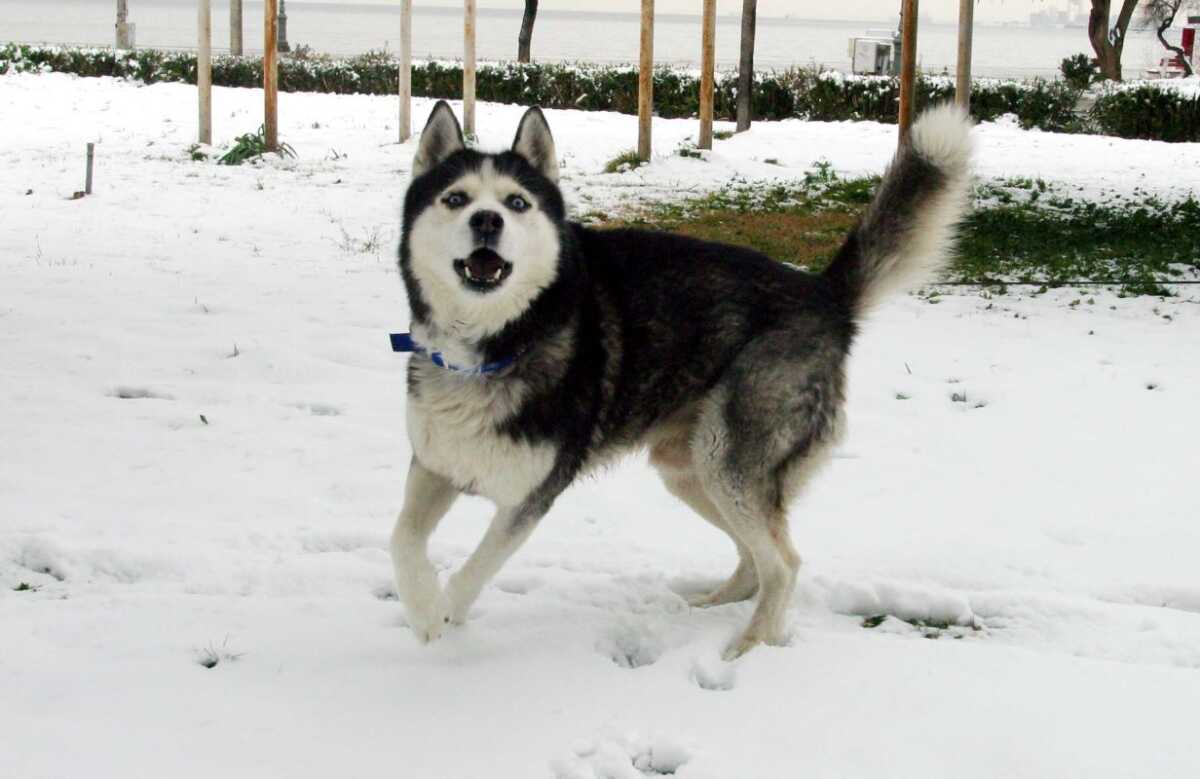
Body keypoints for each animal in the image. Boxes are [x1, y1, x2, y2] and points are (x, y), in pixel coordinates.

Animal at [393, 97, 974, 657]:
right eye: (456, 199)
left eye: (516, 203)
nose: (487, 221)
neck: (495, 342)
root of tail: (823, 294)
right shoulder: (436, 463)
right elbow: (403, 540)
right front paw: (421, 611)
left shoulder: (531, 496)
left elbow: (477, 568)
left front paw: (444, 615)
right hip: (692, 470)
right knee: (753, 557)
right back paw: (713, 604)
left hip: (729, 463)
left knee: (783, 564)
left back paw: (748, 648)